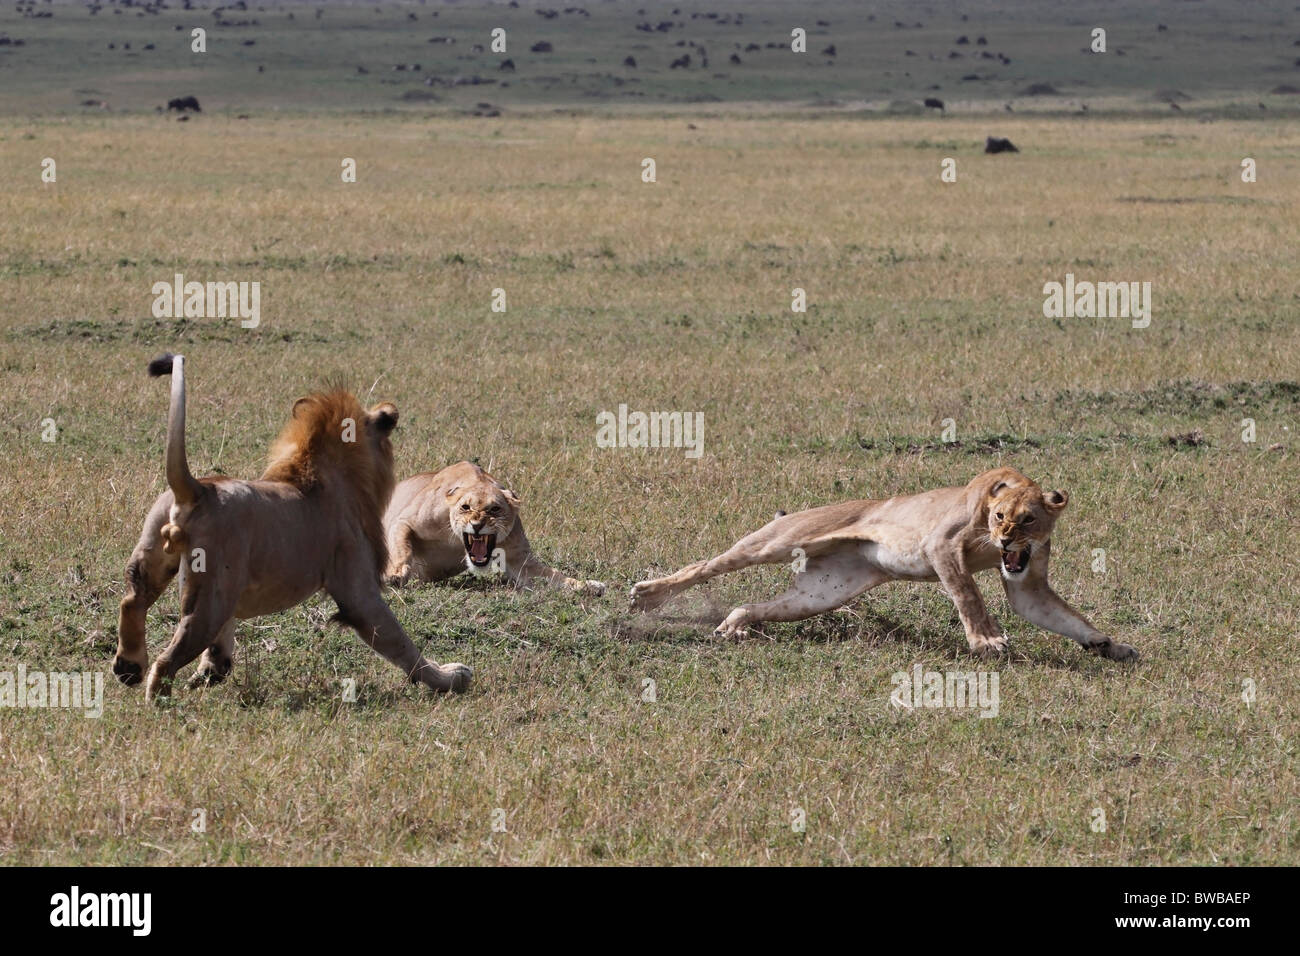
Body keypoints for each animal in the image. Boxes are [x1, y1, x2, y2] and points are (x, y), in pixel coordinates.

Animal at [114, 356, 473, 697]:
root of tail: (198, 489)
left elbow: (224, 637)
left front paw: (212, 669)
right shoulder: (358, 589)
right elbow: (400, 643)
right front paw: (449, 676)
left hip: (157, 557)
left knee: (131, 602)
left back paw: (128, 666)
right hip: (209, 596)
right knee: (168, 657)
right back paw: (158, 699)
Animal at [382, 463, 605, 595]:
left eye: (495, 509)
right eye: (466, 507)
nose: (477, 525)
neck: (456, 541)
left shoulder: (519, 558)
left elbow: (553, 575)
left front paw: (588, 585)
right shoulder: (404, 521)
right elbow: (403, 548)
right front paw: (396, 574)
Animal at [629, 468, 1138, 660]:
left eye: (1029, 519)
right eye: (999, 516)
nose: (1006, 538)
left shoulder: (1026, 583)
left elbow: (1062, 615)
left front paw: (1108, 644)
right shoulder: (941, 546)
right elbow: (969, 597)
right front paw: (987, 641)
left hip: (821, 592)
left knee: (754, 604)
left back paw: (733, 626)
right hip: (773, 542)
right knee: (705, 565)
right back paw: (647, 596)